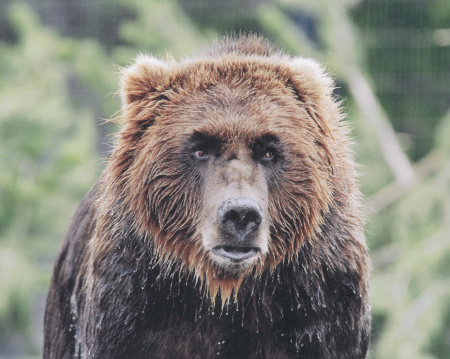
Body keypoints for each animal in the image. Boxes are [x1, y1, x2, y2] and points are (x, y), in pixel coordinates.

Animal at [44, 34, 370, 359]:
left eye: (269, 151)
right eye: (199, 148)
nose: (240, 215)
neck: (224, 292)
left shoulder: (318, 305)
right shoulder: (132, 304)